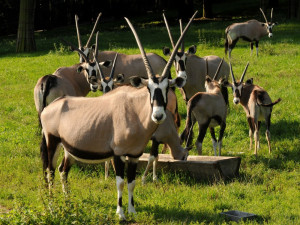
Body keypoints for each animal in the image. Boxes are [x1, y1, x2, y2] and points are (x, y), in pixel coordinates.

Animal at [39, 17, 192, 220]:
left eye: (167, 88)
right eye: (149, 88)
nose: (158, 115)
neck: (135, 112)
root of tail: (49, 108)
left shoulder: (134, 155)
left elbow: (131, 182)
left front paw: (133, 210)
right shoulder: (118, 154)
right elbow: (119, 182)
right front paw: (120, 213)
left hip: (68, 149)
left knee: (62, 170)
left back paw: (67, 201)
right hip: (52, 142)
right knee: (49, 171)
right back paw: (52, 206)